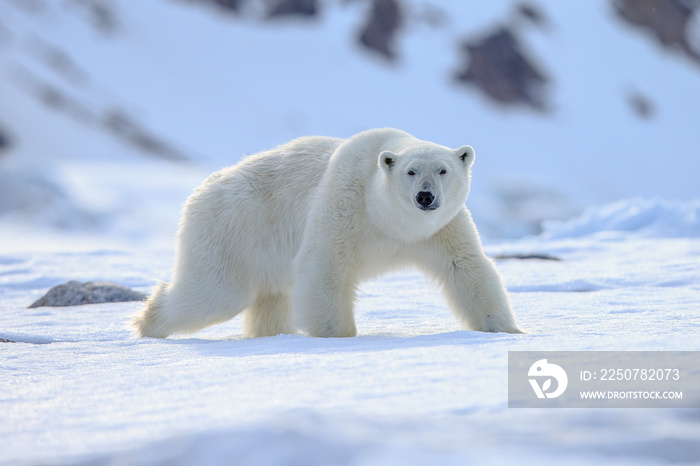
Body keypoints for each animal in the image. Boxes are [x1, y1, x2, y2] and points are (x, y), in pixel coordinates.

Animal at [134, 128, 524, 338]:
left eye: (443, 170)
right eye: (411, 171)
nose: (425, 197)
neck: (388, 220)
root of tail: (202, 189)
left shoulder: (441, 229)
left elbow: (467, 268)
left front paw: (507, 330)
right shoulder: (344, 204)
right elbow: (325, 266)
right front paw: (339, 336)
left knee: (270, 298)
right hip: (232, 231)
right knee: (214, 293)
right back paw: (147, 323)